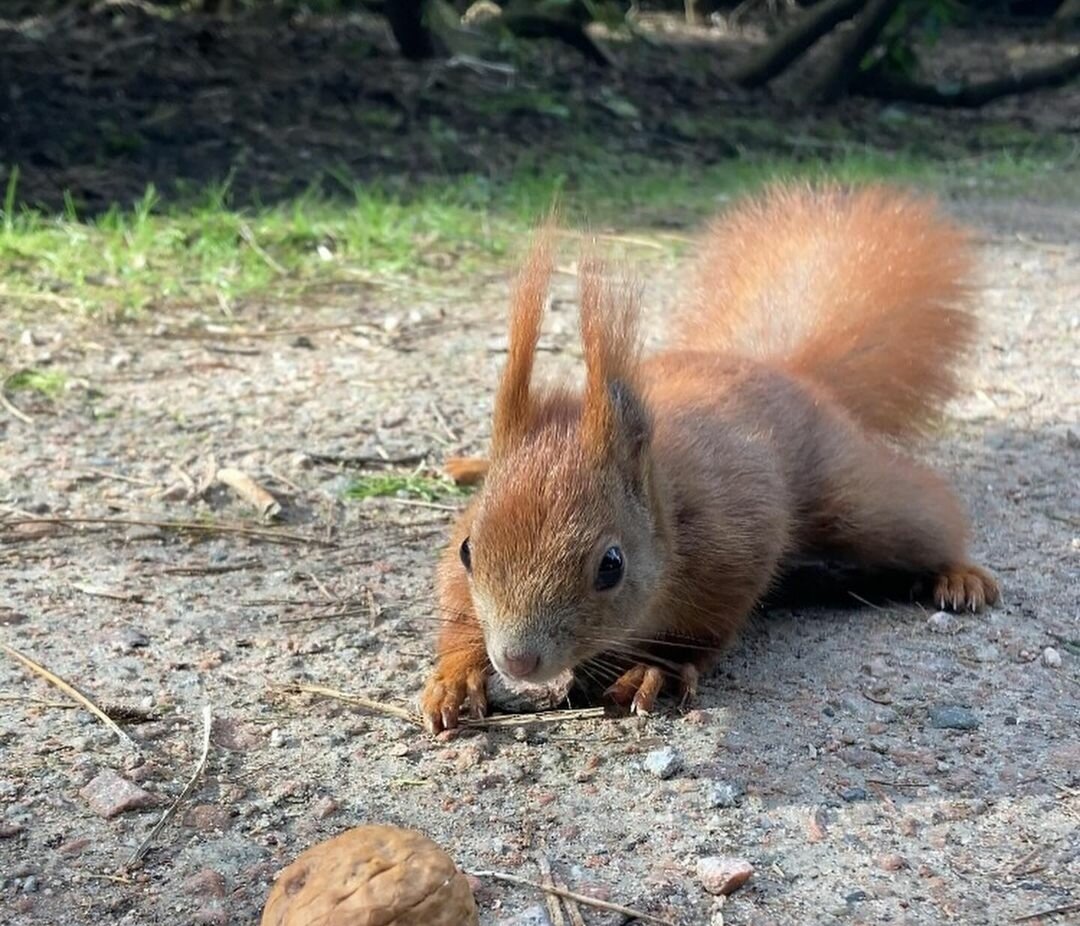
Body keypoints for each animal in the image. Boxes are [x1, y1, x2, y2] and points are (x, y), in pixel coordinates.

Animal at [416, 182, 997, 730]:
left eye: (611, 566)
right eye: (468, 550)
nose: (517, 660)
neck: (664, 498)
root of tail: (781, 369)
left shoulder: (731, 547)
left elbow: (695, 632)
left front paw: (652, 671)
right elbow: (454, 598)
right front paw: (455, 675)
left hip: (856, 502)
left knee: (922, 515)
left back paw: (959, 575)